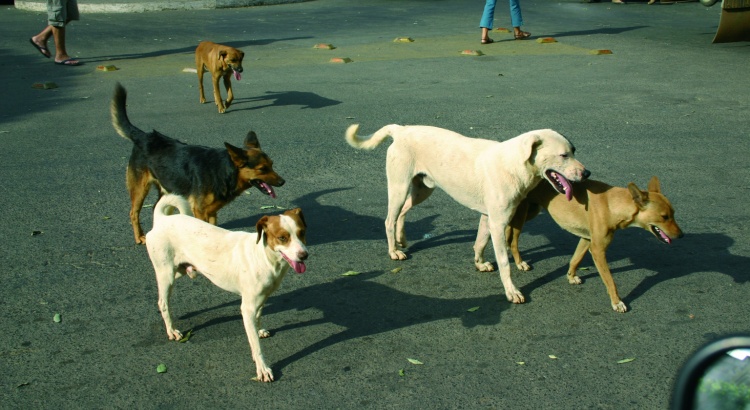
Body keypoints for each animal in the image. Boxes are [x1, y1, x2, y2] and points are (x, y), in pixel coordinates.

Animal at [111, 82, 284, 243]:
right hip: (140, 189)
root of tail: (144, 136)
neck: (223, 171)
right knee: (133, 213)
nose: (283, 182)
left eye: (272, 164)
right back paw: (140, 236)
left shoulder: (211, 212)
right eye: (262, 169)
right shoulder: (200, 211)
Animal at [144, 194, 308, 382]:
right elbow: (256, 346)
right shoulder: (248, 307)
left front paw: (258, 330)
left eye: (302, 232)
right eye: (282, 238)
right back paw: (171, 331)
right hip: (166, 274)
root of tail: (161, 220)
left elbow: (258, 319)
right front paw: (262, 369)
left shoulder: (261, 299)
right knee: (162, 303)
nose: (304, 255)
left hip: (181, 270)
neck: (264, 257)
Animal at [344, 125, 592, 304]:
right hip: (398, 187)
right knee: (389, 219)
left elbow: (480, 243)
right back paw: (393, 250)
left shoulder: (487, 218)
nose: (587, 173)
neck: (514, 164)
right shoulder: (498, 224)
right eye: (563, 155)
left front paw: (479, 264)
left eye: (574, 151)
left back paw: (401, 239)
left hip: (422, 189)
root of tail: (401, 129)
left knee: (402, 213)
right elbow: (504, 262)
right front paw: (511, 291)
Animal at [508, 175, 684, 312]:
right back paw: (519, 262)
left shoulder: (587, 240)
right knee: (512, 242)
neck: (611, 205)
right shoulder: (598, 250)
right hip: (522, 214)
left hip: (530, 211)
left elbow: (575, 260)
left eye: (674, 214)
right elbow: (610, 280)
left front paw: (571, 276)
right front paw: (617, 302)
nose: (681, 235)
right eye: (664, 217)